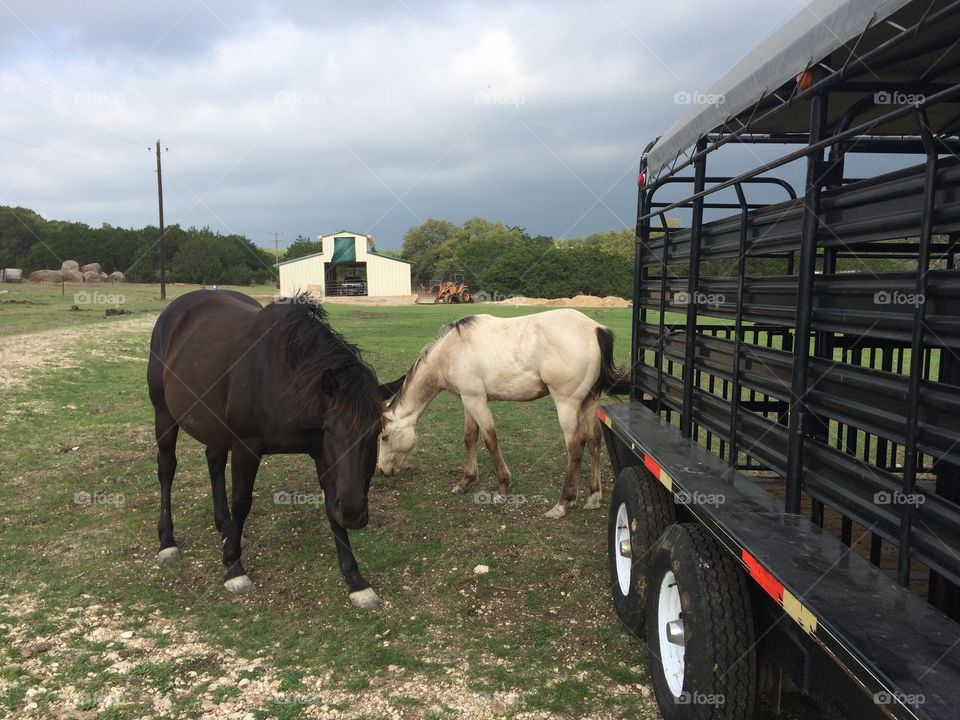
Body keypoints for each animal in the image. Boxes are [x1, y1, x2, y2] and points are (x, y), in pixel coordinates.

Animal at [147, 289, 396, 608]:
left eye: (376, 432)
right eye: (331, 429)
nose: (353, 513)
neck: (284, 377)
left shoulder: (321, 453)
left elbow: (331, 505)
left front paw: (355, 581)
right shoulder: (246, 447)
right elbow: (242, 501)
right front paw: (234, 568)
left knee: (214, 463)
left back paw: (227, 530)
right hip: (164, 414)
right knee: (167, 468)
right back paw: (168, 541)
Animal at [376, 309, 628, 518]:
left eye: (385, 436)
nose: (382, 470)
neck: (451, 351)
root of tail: (595, 328)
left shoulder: (476, 400)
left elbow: (490, 439)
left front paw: (503, 487)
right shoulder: (468, 401)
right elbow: (470, 437)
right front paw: (466, 481)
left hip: (566, 404)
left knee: (575, 447)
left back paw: (563, 503)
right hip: (589, 401)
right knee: (594, 440)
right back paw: (593, 496)